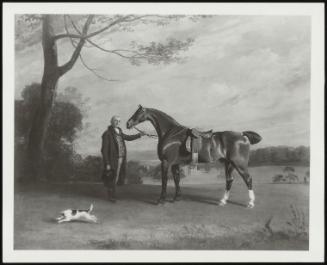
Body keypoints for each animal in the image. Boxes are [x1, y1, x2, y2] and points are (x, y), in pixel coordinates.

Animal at [127, 104, 262, 206]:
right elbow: (176, 179)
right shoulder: (175, 164)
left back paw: (250, 203)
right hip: (228, 164)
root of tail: (242, 135)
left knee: (248, 179)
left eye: (138, 112)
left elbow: (164, 180)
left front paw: (161, 200)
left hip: (239, 164)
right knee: (229, 180)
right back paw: (223, 201)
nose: (128, 123)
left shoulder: (166, 162)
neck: (171, 133)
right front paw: (177, 198)